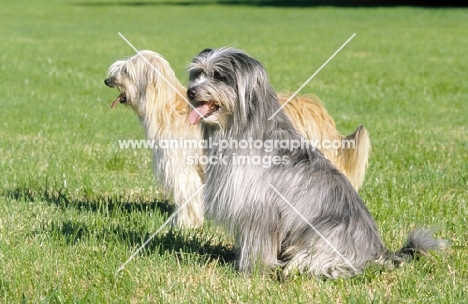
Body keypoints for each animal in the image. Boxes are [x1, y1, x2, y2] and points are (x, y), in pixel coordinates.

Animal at [104, 50, 372, 227]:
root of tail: (316, 110)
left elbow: (188, 198)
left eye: (125, 71)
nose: (106, 80)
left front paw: (186, 226)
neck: (167, 106)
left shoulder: (183, 170)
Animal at [186, 47, 442, 278]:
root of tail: (378, 253)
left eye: (218, 76)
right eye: (197, 73)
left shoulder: (261, 211)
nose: (190, 92)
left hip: (322, 239)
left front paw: (250, 272)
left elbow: (257, 245)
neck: (243, 128)